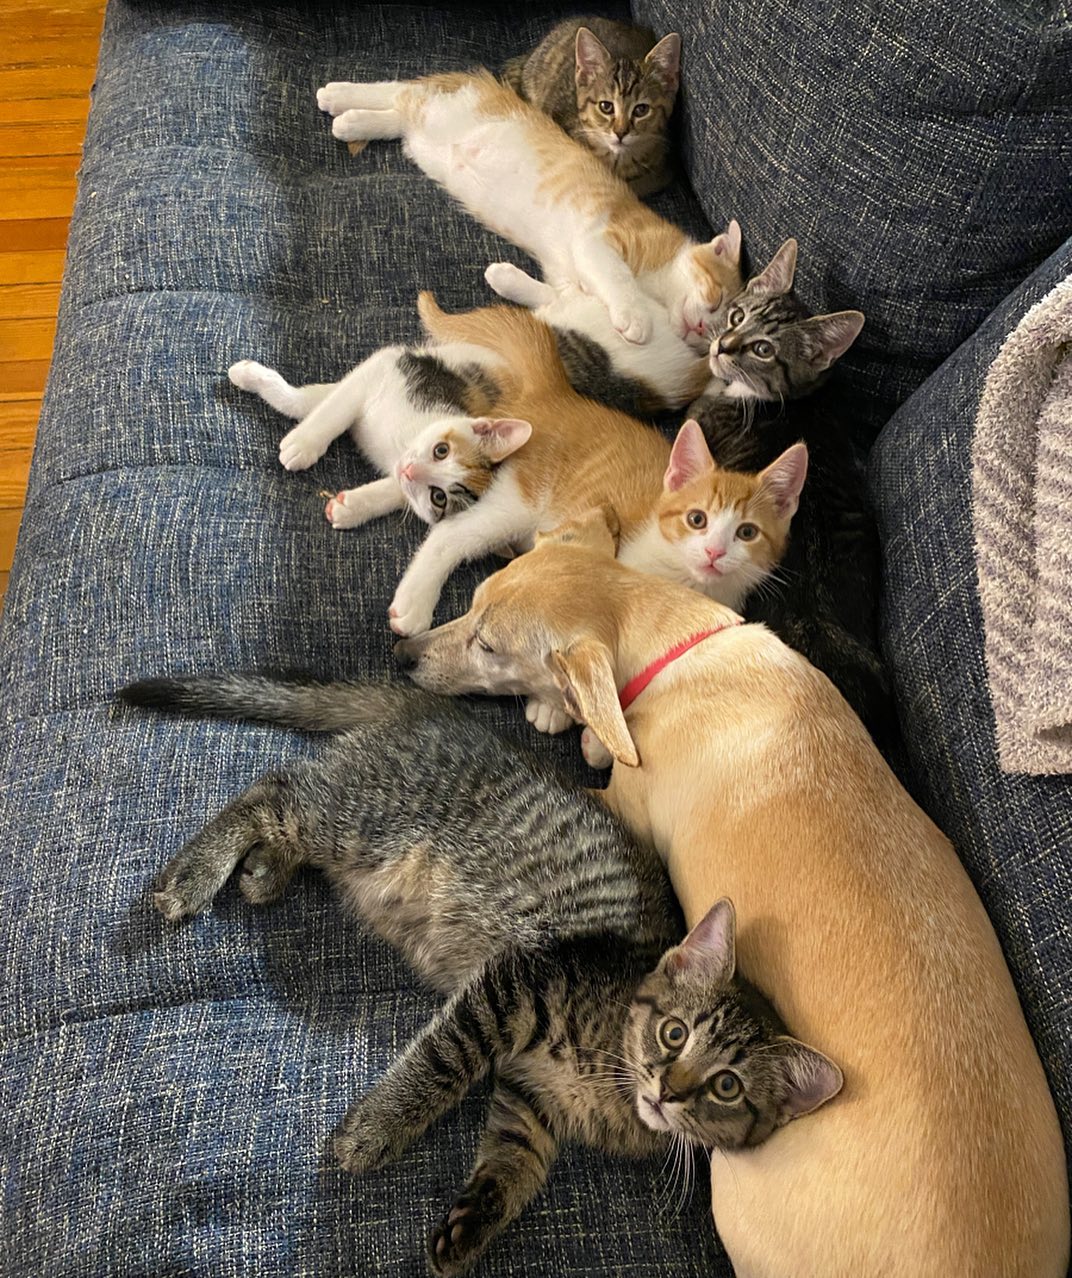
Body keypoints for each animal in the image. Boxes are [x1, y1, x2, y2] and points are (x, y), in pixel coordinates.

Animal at [121, 674, 848, 1272]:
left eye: (726, 1088)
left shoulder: (528, 1103)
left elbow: (514, 1163)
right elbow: (438, 1065)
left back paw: (263, 871)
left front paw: (471, 1225)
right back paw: (195, 876)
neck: (606, 1087)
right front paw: (374, 1131)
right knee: (274, 790)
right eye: (675, 1034)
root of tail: (432, 708)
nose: (670, 1088)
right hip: (364, 818)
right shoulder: (513, 984)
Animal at [314, 70, 741, 355]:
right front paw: (635, 315)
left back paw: (351, 116)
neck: (660, 287)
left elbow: (551, 295)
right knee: (402, 91)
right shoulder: (601, 239)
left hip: (423, 133)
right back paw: (341, 99)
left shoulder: (570, 279)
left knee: (400, 112)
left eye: (714, 333)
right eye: (717, 300)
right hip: (451, 104)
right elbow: (618, 276)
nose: (699, 327)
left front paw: (504, 277)